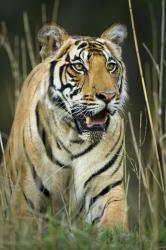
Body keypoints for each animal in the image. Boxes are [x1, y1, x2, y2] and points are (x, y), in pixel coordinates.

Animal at [1, 23, 127, 229]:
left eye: (111, 66)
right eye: (79, 67)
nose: (108, 96)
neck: (75, 138)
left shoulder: (108, 187)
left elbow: (114, 222)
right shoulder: (27, 195)